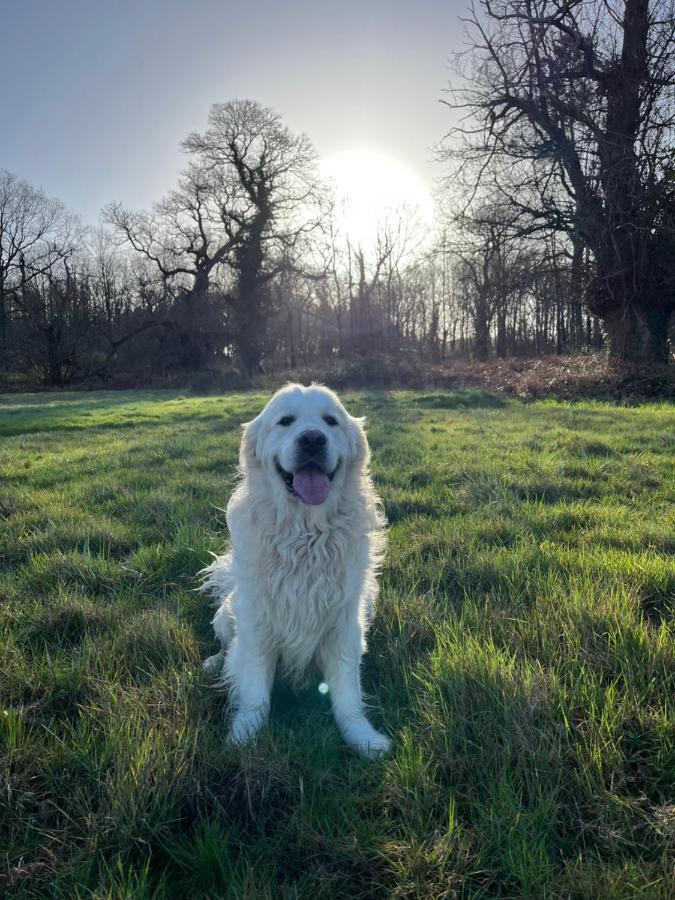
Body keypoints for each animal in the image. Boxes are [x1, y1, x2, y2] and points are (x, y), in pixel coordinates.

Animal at [199, 384, 390, 756]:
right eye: (285, 421)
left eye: (331, 421)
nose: (312, 439)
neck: (305, 535)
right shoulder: (257, 624)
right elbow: (255, 692)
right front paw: (242, 738)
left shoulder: (344, 626)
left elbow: (347, 695)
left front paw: (363, 738)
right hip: (229, 611)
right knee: (227, 647)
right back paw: (215, 662)